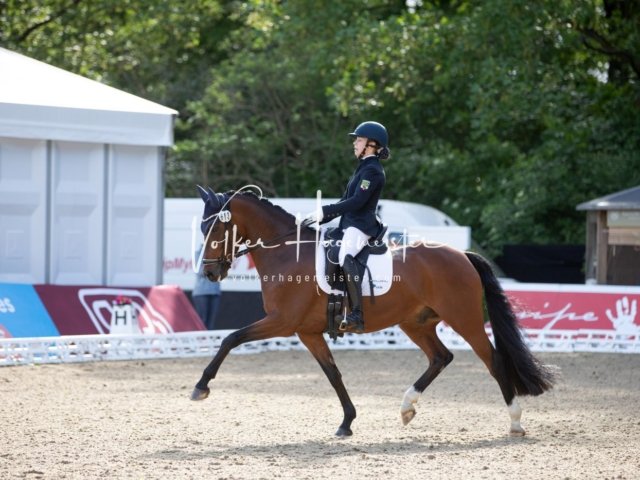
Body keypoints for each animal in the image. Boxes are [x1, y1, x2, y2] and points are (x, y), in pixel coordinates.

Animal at [190, 186, 555, 437]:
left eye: (216, 229)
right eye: (202, 229)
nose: (209, 273)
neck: (285, 251)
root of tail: (462, 255)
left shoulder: (282, 323)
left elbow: (230, 339)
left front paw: (201, 387)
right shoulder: (307, 332)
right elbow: (333, 374)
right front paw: (347, 422)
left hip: (464, 319)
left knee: (493, 360)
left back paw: (515, 422)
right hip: (416, 323)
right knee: (441, 357)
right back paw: (407, 407)